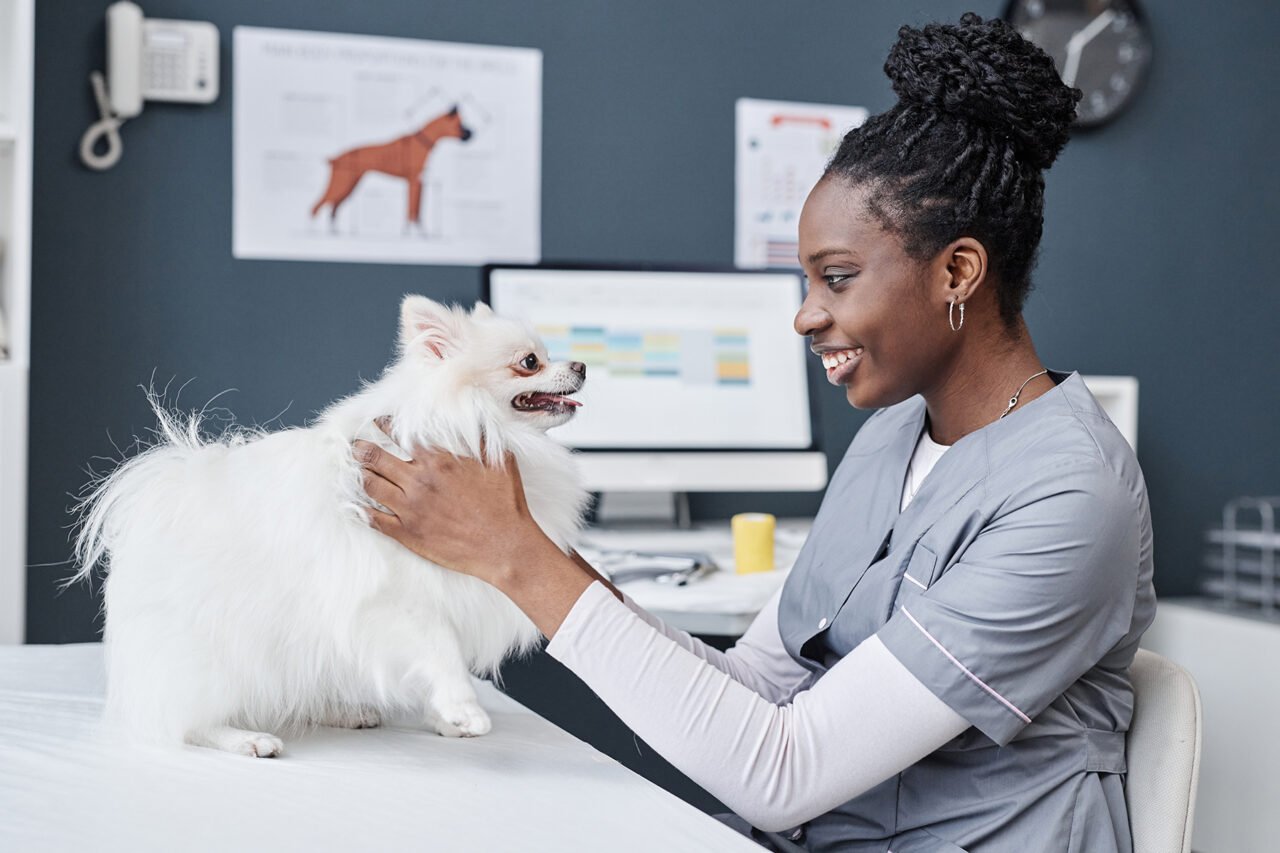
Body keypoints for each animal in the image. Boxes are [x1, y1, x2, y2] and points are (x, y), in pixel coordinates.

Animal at [71, 295, 588, 753]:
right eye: (529, 362)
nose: (582, 365)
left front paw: (445, 717)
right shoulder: (399, 596)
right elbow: (441, 650)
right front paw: (464, 709)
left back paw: (340, 711)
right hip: (216, 652)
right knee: (188, 720)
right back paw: (245, 738)